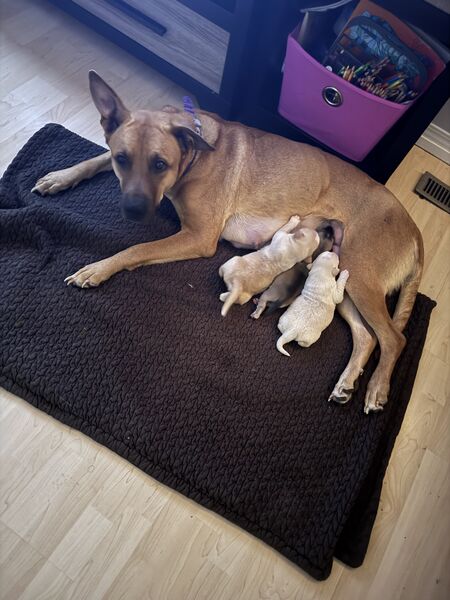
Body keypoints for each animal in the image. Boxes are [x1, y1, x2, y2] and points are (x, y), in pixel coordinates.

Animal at [32, 71, 424, 413]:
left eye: (160, 164)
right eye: (122, 159)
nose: (132, 211)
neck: (195, 149)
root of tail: (413, 226)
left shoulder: (198, 236)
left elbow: (136, 249)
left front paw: (97, 268)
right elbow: (96, 157)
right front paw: (61, 177)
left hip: (360, 274)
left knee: (394, 339)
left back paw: (376, 389)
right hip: (343, 278)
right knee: (367, 337)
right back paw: (346, 383)